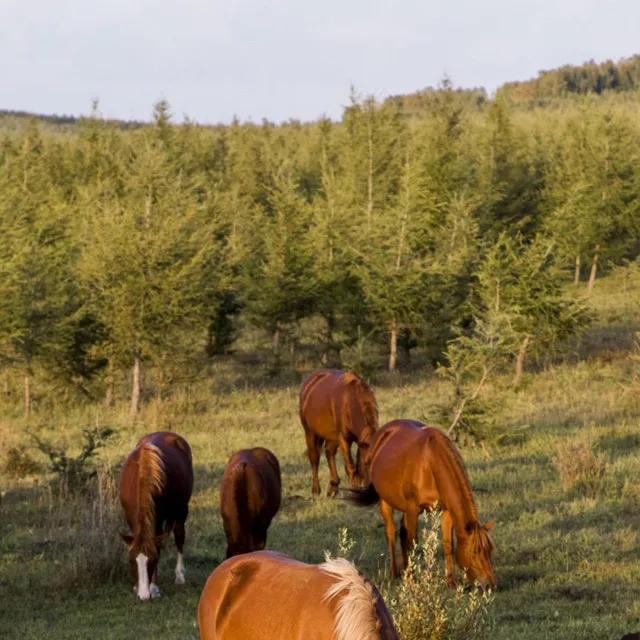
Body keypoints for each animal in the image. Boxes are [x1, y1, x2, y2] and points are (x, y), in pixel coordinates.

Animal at [118, 430, 192, 600]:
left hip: (181, 509)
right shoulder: (129, 516)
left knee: (179, 535)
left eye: (153, 560)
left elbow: (158, 545)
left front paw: (154, 588)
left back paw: (180, 575)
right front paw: (136, 587)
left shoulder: (158, 517)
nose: (144, 595)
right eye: (131, 561)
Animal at [298, 368, 378, 498]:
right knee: (314, 458)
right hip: (310, 432)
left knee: (329, 452)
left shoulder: (359, 441)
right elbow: (350, 467)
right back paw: (316, 490)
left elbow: (358, 468)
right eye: (368, 463)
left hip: (332, 437)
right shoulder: (344, 439)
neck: (350, 401)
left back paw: (333, 488)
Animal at [342, 420, 498, 592]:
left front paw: (451, 582)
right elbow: (412, 543)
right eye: (475, 551)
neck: (430, 463)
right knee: (391, 533)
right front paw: (411, 580)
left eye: (489, 551)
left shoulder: (447, 510)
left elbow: (447, 543)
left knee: (402, 532)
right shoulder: (413, 509)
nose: (490, 585)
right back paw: (395, 572)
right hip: (386, 502)